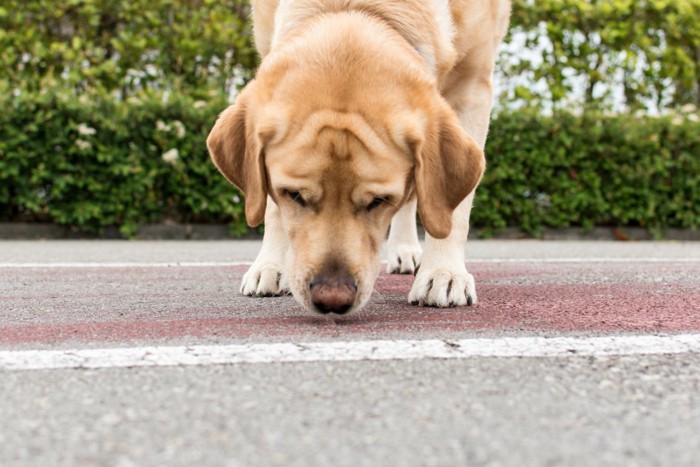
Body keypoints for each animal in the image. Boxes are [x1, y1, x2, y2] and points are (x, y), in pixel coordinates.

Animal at [206, 0, 508, 316]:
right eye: (294, 195)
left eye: (380, 201)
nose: (332, 299)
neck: (358, 8)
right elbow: (272, 206)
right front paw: (271, 265)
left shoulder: (473, 87)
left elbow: (453, 211)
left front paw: (443, 272)